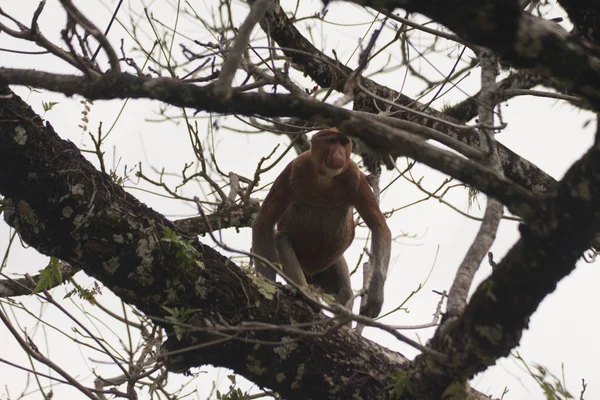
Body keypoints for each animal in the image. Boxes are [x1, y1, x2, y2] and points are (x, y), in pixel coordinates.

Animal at [251, 130, 392, 318]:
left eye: (343, 143)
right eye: (332, 141)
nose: (340, 154)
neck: (325, 177)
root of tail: (311, 271)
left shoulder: (354, 176)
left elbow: (378, 226)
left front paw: (375, 296)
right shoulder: (293, 169)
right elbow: (264, 221)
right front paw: (267, 285)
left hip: (331, 263)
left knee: (345, 291)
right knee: (280, 238)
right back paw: (304, 292)